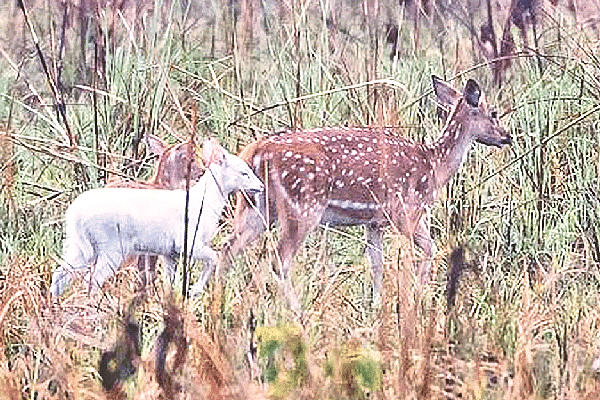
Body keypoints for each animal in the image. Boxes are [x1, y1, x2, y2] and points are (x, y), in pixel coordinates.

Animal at [52, 138, 264, 296]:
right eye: (244, 172)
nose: (261, 186)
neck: (204, 203)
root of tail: (74, 214)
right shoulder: (187, 242)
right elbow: (214, 257)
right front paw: (195, 290)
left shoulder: (169, 252)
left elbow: (170, 281)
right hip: (112, 245)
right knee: (93, 280)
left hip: (78, 245)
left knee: (60, 273)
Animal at [220, 76, 510, 304]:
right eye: (494, 113)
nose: (508, 137)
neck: (434, 165)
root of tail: (255, 152)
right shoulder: (406, 210)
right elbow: (430, 249)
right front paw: (417, 297)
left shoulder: (373, 222)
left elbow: (377, 265)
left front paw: (377, 306)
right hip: (302, 206)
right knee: (278, 260)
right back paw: (296, 311)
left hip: (256, 206)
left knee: (227, 248)